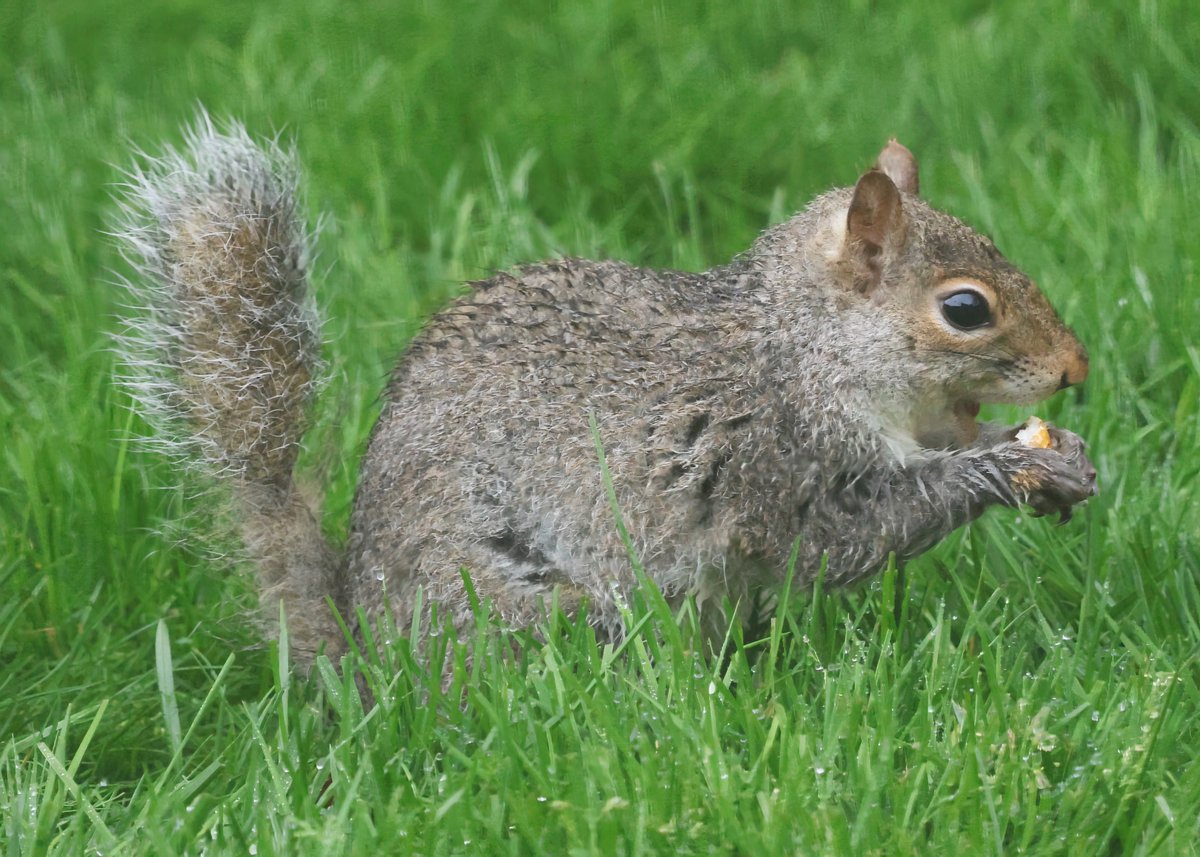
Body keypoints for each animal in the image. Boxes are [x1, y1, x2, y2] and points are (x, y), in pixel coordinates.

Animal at [114, 116, 1097, 667]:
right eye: (965, 308)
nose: (1076, 369)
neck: (798, 347)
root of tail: (372, 677)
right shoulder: (772, 462)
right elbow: (837, 540)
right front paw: (1001, 468)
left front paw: (1061, 461)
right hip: (536, 610)